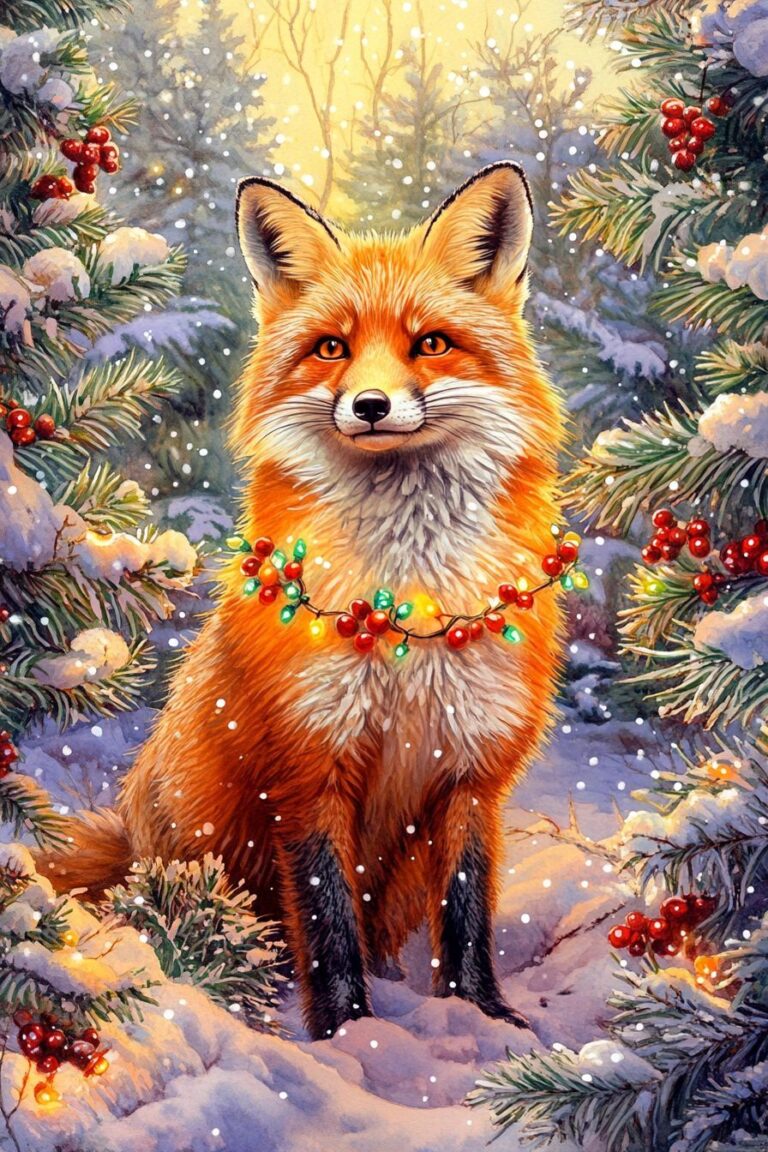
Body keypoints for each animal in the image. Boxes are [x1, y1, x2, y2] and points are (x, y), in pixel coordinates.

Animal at [37, 162, 565, 1041]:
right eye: (331, 348)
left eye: (430, 343)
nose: (371, 405)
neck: (407, 618)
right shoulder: (308, 769)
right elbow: (328, 923)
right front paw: (350, 1032)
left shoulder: (471, 773)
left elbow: (466, 913)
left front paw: (484, 1020)